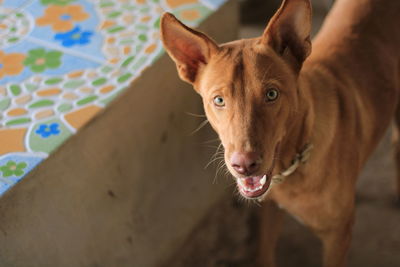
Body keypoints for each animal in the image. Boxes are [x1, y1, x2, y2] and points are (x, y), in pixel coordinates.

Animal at [160, 0, 400, 266]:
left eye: (272, 94)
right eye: (219, 100)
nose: (244, 165)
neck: (292, 164)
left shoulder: (338, 238)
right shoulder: (270, 210)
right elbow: (264, 251)